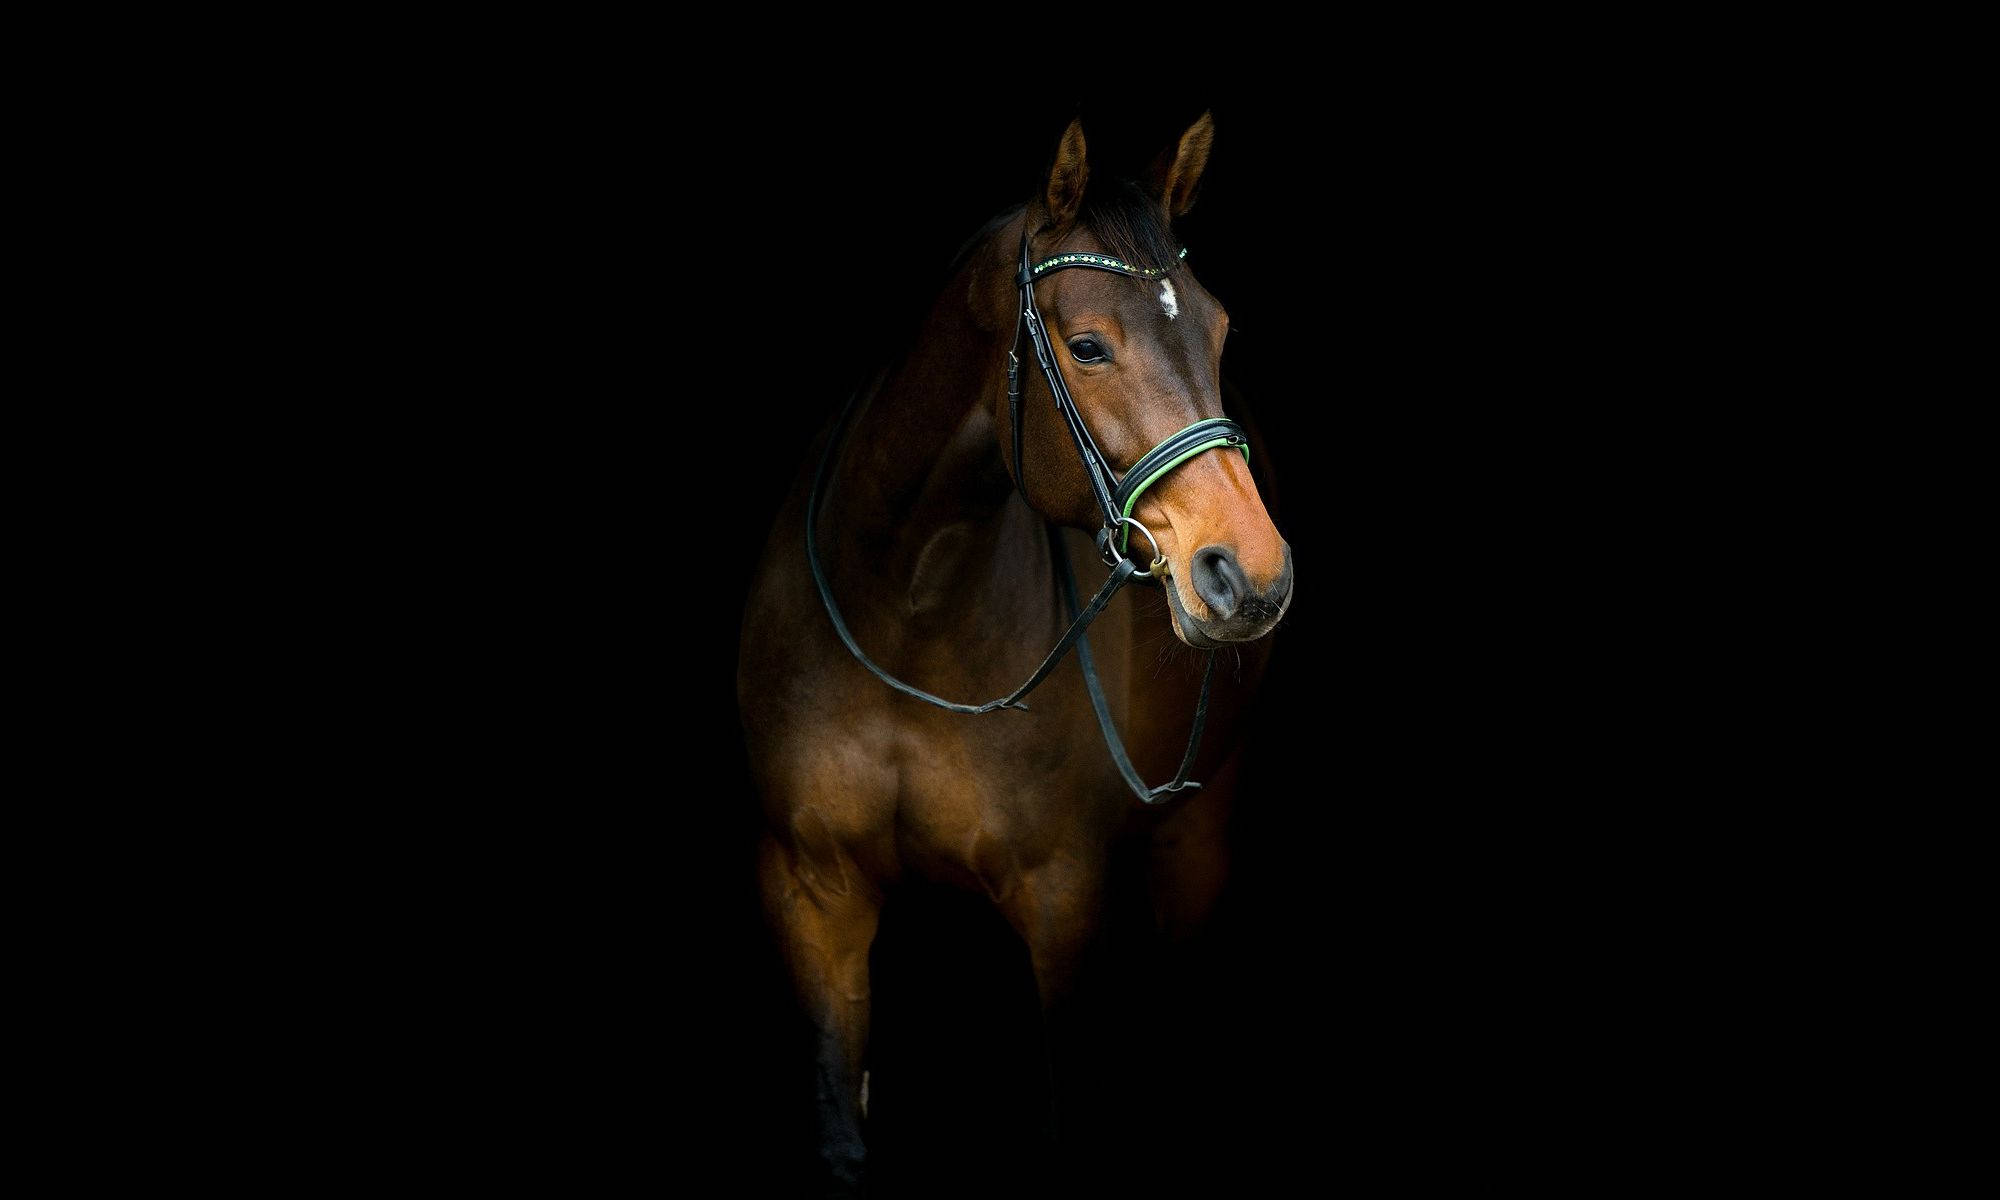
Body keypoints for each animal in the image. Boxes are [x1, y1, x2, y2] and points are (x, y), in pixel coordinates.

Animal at [736, 112, 1293, 1194]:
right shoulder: (811, 893)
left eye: (1217, 332)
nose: (1249, 573)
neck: (904, 608)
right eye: (1087, 345)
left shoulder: (1063, 903)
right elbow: (840, 1124)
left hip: (1196, 838)